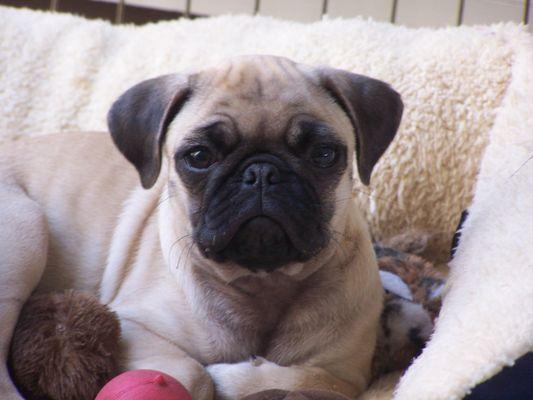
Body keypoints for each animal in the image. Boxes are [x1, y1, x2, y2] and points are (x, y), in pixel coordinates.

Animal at [0, 54, 400, 398]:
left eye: (323, 155)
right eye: (199, 157)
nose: (261, 173)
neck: (265, 285)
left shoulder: (347, 375)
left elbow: (308, 377)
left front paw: (236, 377)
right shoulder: (134, 326)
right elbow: (195, 373)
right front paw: (216, 377)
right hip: (27, 231)